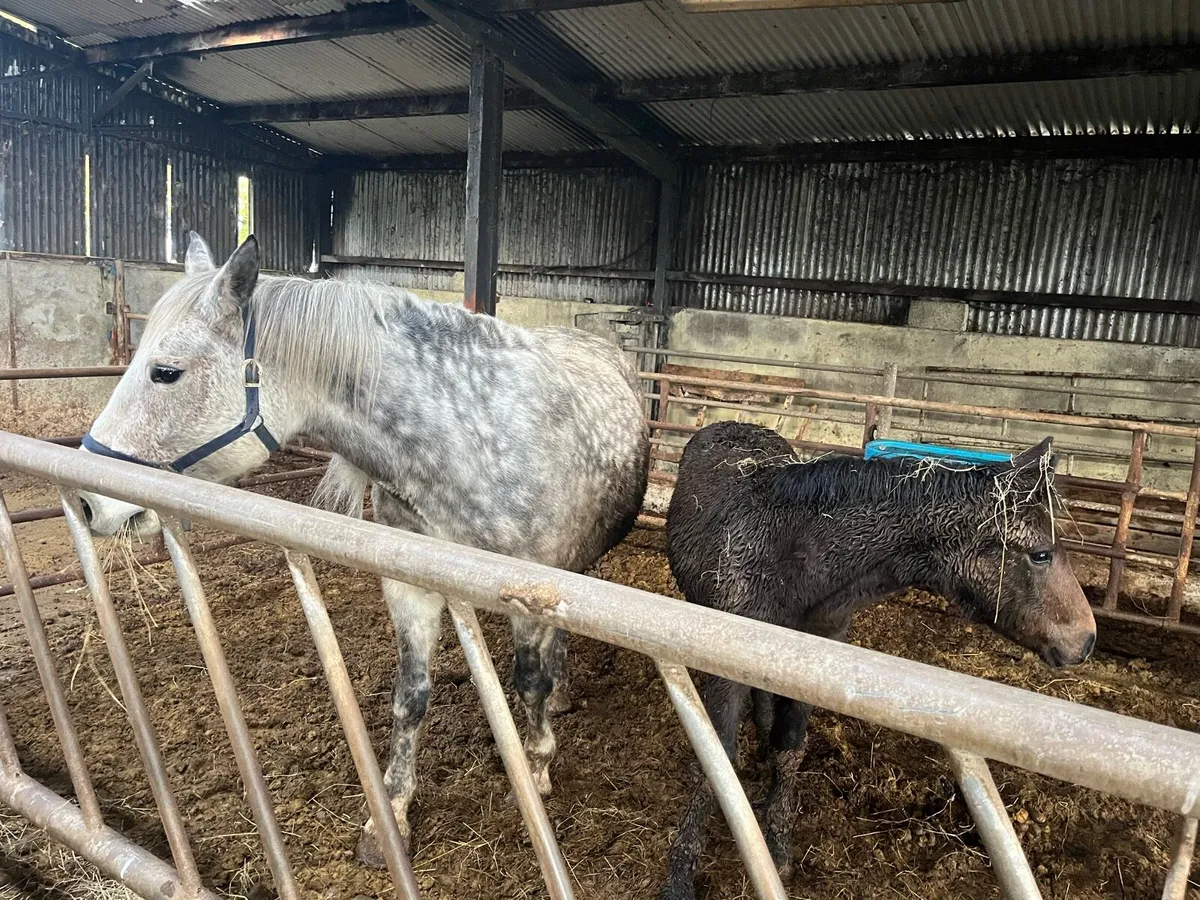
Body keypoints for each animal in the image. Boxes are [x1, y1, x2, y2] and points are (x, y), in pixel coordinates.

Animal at [77, 233, 650, 865]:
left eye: (166, 372)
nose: (89, 502)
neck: (468, 439)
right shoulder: (409, 588)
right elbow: (411, 698)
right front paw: (391, 815)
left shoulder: (531, 597)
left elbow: (528, 683)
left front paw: (538, 767)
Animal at [661, 421, 1096, 899]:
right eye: (1040, 554)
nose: (1086, 640)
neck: (794, 561)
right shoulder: (723, 666)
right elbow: (714, 760)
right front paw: (679, 877)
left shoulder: (811, 662)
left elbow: (789, 748)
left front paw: (778, 847)